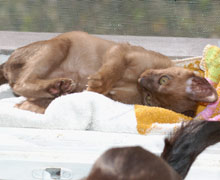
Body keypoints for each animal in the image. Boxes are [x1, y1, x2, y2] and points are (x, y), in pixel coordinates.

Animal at [0, 31, 217, 115]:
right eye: (164, 79)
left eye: (149, 99)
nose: (143, 80)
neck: (134, 80)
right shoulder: (121, 51)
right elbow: (111, 70)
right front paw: (96, 84)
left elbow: (101, 92)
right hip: (59, 46)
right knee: (21, 83)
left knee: (28, 93)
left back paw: (54, 90)